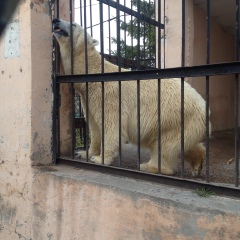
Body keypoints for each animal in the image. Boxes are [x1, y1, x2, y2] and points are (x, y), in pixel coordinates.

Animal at [52, 18, 210, 176]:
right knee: (182, 144)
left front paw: (99, 159)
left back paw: (148, 166)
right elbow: (94, 127)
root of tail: (205, 110)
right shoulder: (89, 98)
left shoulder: (109, 96)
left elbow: (112, 126)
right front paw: (84, 153)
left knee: (165, 145)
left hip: (174, 119)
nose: (56, 20)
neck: (94, 75)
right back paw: (197, 164)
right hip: (185, 125)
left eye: (73, 24)